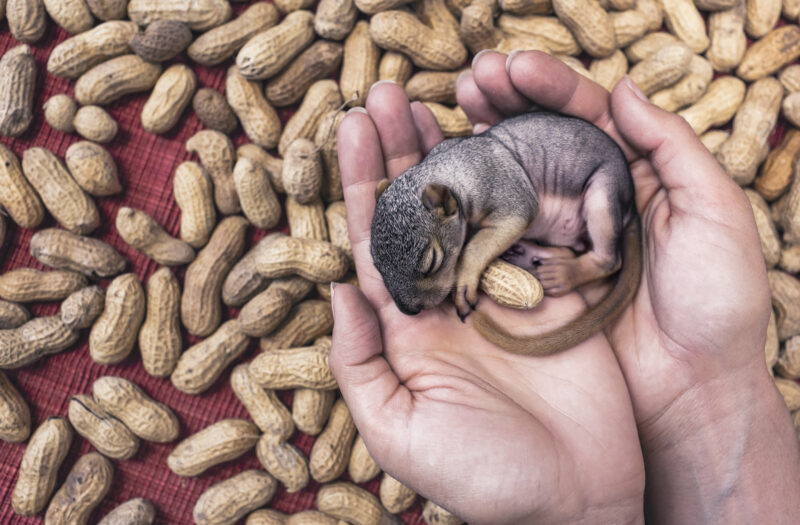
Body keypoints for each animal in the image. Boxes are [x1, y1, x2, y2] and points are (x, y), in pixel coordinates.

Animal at [370, 111, 642, 357]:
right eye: (376, 264)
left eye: (432, 263)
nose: (408, 311)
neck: (452, 168)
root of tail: (632, 206)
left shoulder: (503, 190)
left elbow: (478, 245)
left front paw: (464, 281)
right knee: (570, 248)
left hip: (603, 195)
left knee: (608, 259)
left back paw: (564, 273)